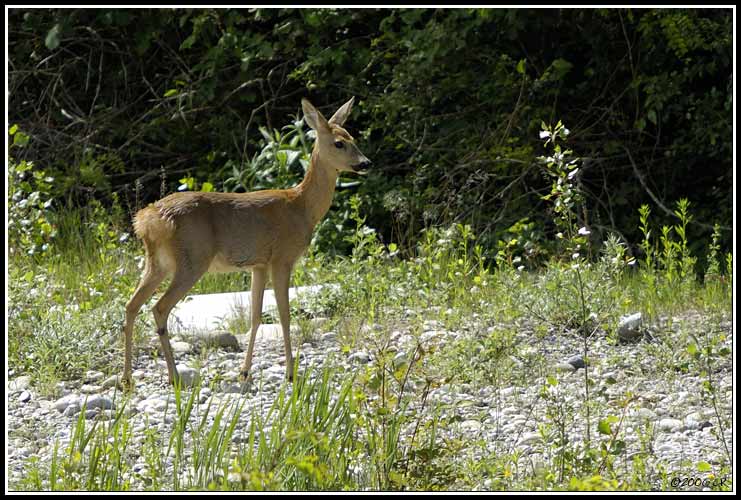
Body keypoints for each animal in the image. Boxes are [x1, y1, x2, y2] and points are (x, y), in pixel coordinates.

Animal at [123, 97, 372, 386]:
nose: (366, 163)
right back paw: (173, 376)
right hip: (192, 259)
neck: (302, 207)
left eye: (353, 137)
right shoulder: (282, 258)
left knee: (131, 305)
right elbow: (284, 315)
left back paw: (127, 378)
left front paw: (245, 372)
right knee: (159, 308)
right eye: (339, 143)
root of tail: (147, 219)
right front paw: (290, 373)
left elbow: (255, 316)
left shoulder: (259, 264)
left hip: (157, 262)